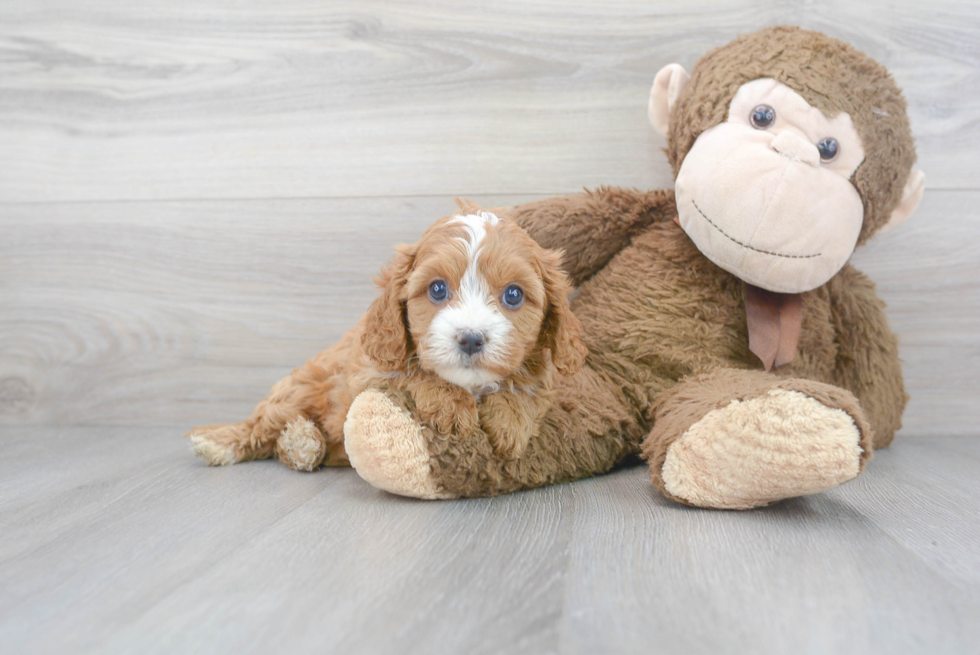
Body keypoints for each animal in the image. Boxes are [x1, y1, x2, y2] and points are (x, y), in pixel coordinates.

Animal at [189, 205, 588, 472]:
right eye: (437, 289)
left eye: (514, 295)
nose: (471, 339)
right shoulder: (368, 372)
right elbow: (413, 373)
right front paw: (451, 405)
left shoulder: (545, 379)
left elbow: (529, 389)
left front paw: (510, 420)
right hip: (299, 389)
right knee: (261, 427)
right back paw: (229, 442)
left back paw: (302, 443)